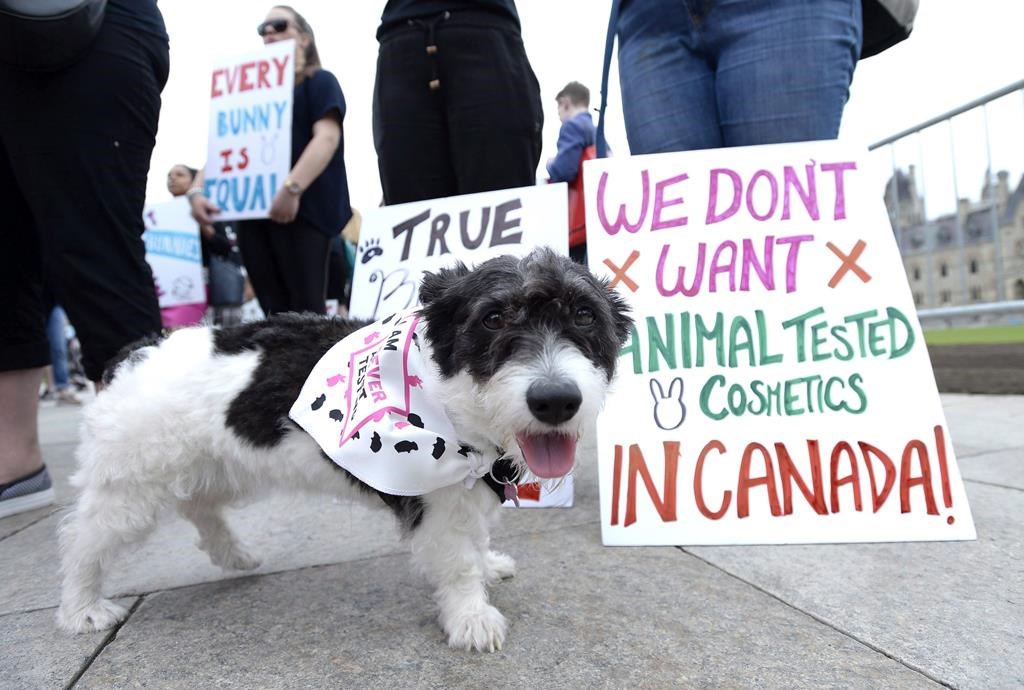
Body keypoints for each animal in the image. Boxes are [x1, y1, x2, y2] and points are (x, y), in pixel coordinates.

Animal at [58, 245, 630, 651]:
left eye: (585, 316)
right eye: (492, 318)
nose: (555, 400)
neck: (448, 399)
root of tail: (137, 351)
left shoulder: (468, 486)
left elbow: (478, 536)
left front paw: (488, 564)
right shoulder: (436, 505)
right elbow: (457, 561)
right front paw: (471, 617)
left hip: (215, 465)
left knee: (200, 505)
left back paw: (232, 552)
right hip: (128, 490)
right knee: (84, 542)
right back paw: (81, 608)